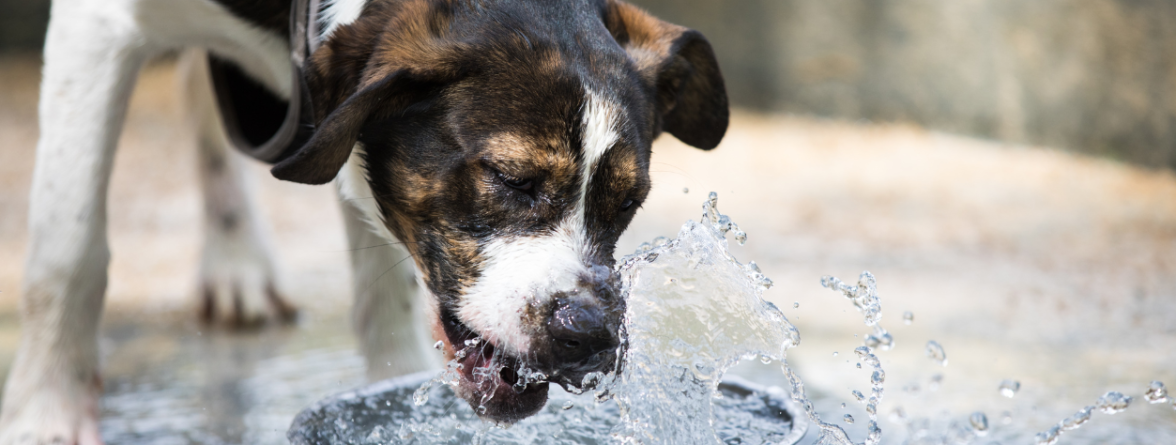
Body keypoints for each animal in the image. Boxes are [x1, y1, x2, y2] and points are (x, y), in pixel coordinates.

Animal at [0, 0, 724, 440]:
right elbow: (69, 251)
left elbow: (386, 296)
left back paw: (236, 259)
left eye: (628, 202)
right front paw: (46, 413)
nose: (591, 335)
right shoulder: (97, 26)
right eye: (512, 180)